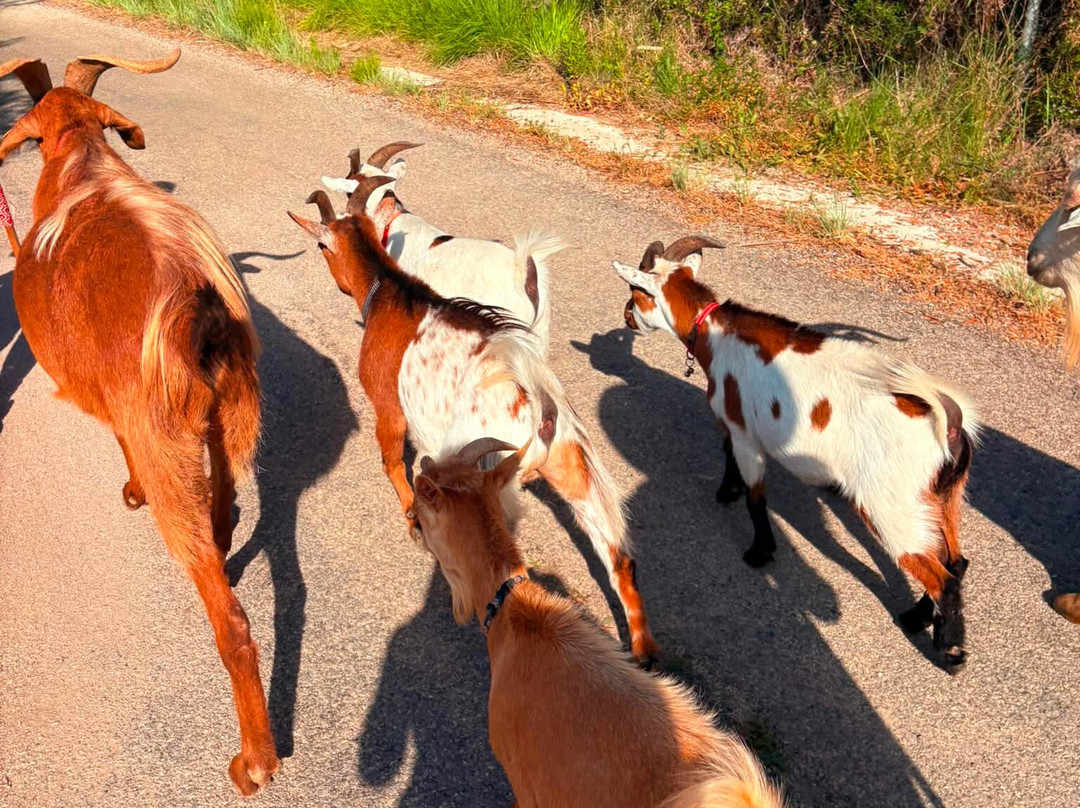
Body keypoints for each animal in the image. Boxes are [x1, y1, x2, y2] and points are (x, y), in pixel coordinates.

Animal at [0, 52, 277, 792]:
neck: (82, 162)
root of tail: (196, 309)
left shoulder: (117, 404)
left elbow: (119, 441)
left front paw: (130, 492)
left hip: (169, 446)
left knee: (233, 624)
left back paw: (255, 761)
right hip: (229, 421)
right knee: (227, 511)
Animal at [289, 182, 658, 663]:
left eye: (321, 246)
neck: (391, 291)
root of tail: (538, 400)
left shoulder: (388, 404)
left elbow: (392, 462)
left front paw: (412, 518)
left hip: (492, 468)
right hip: (572, 464)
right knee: (619, 558)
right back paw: (644, 651)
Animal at [614, 238, 980, 668]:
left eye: (636, 291)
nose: (626, 318)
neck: (718, 335)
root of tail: (948, 421)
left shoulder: (746, 435)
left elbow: (756, 496)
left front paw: (758, 550)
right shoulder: (735, 425)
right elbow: (727, 455)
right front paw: (727, 491)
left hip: (890, 504)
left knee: (939, 576)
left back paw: (949, 651)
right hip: (943, 496)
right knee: (954, 561)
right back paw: (916, 619)